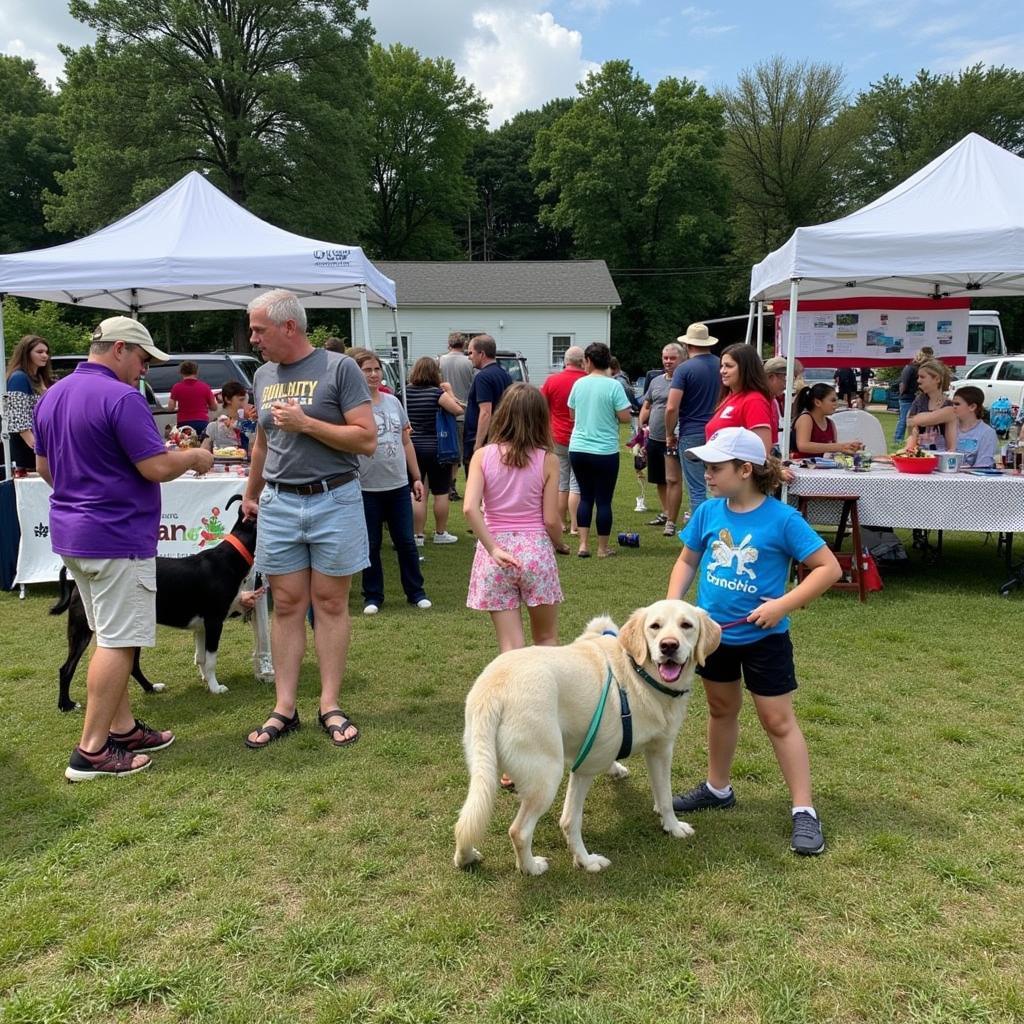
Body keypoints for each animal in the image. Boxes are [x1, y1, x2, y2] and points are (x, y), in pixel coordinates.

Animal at [51, 495, 260, 712]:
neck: (230, 558)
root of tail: (77, 582)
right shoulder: (214, 622)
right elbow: (210, 659)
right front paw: (215, 687)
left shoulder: (202, 627)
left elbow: (201, 657)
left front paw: (205, 681)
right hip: (83, 630)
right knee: (66, 668)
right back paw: (66, 704)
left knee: (132, 666)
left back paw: (151, 688)